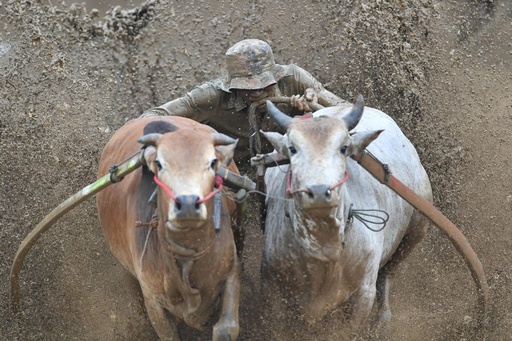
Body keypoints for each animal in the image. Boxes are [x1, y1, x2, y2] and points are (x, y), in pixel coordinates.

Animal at [97, 115, 241, 338]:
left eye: (212, 162)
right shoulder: (152, 300)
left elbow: (226, 329)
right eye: (159, 163)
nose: (188, 203)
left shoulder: (231, 269)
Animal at [260, 95, 432, 338]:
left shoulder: (362, 297)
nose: (319, 191)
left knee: (388, 275)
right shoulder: (272, 294)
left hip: (418, 226)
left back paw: (383, 320)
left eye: (343, 148)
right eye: (292, 148)